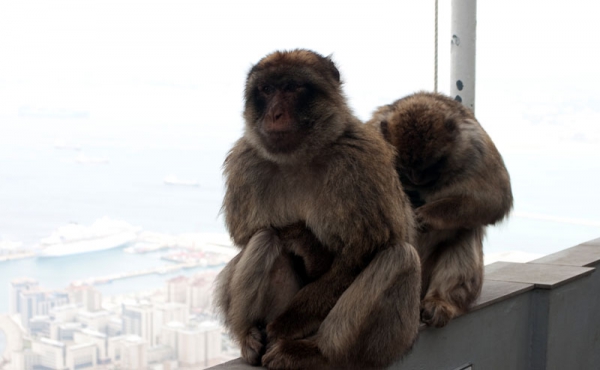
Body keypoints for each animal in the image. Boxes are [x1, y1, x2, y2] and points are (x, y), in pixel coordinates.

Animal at [213, 49, 420, 370]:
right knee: (265, 238)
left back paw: (317, 351)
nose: (274, 114)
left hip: (397, 337)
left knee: (399, 257)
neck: (300, 157)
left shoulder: (360, 161)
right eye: (266, 89)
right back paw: (250, 335)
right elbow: (248, 236)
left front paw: (286, 323)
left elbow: (363, 250)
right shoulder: (245, 163)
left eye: (292, 87)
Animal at [368, 92, 512, 326]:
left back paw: (440, 301)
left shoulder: (476, 148)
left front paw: (426, 216)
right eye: (404, 165)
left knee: (466, 232)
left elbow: (496, 199)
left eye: (432, 164)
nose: (416, 180)